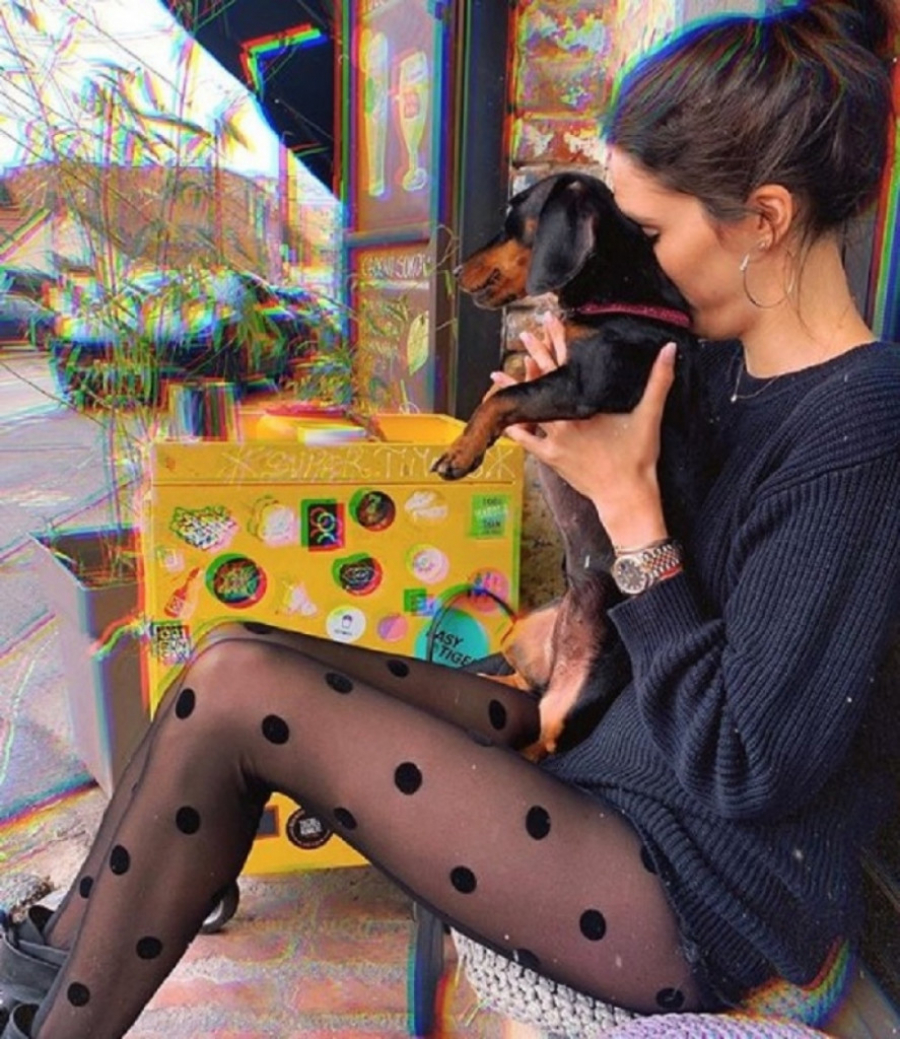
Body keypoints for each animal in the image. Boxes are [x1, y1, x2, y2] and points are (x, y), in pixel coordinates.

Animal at [432, 172, 708, 759]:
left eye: (513, 214)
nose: (457, 270)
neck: (621, 299)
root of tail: (561, 655)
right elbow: (510, 380)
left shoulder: (585, 382)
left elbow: (505, 395)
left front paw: (460, 454)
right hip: (521, 638)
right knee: (521, 686)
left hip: (573, 702)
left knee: (540, 735)